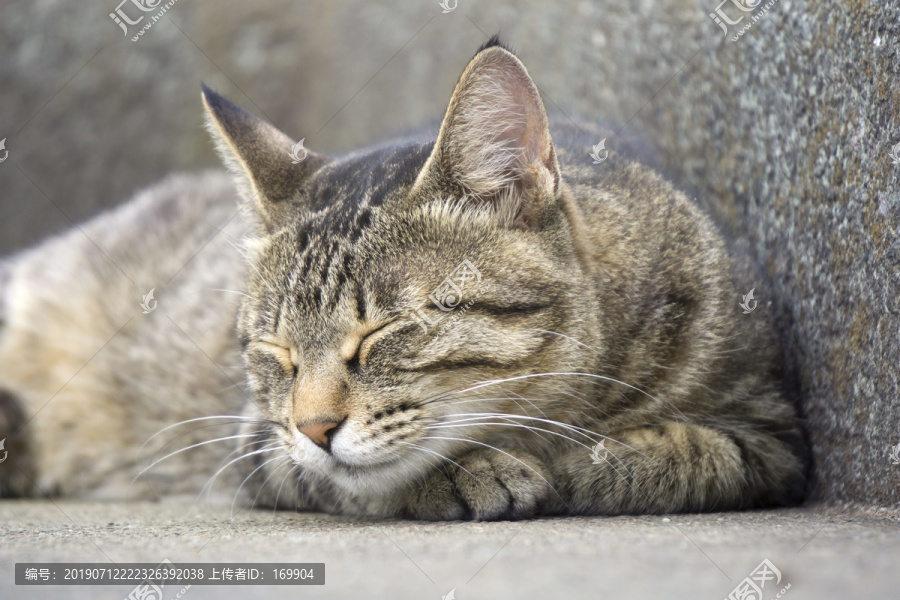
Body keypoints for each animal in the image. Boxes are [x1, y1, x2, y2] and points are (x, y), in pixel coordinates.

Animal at [0, 37, 804, 516]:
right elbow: (353, 476)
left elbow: (670, 453)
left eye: (386, 331)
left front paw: (554, 461)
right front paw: (471, 472)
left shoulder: (771, 436)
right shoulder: (259, 441)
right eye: (275, 352)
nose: (316, 426)